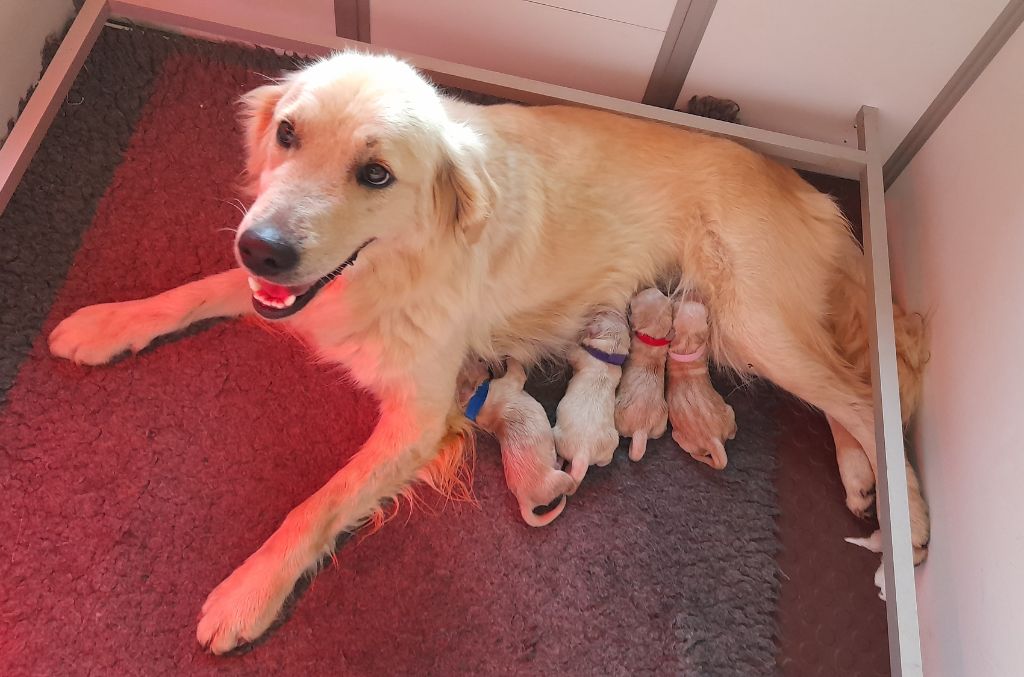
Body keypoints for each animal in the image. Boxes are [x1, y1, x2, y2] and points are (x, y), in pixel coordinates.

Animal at [471, 358, 577, 528]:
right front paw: (509, 357)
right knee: (569, 487)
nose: (483, 360)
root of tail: (524, 502)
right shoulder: (511, 380)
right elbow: (516, 368)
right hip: (557, 480)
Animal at [552, 309, 630, 483]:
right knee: (604, 461)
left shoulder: (578, 355)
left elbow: (572, 350)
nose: (603, 309)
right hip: (611, 442)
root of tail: (583, 453)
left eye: (597, 318)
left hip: (558, 437)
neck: (607, 356)